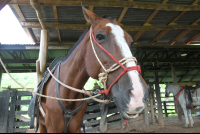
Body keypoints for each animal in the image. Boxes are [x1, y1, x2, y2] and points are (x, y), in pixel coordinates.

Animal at [38, 4, 149, 133]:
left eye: (130, 41)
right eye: (100, 36)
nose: (137, 94)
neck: (68, 96)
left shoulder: (76, 128)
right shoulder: (52, 128)